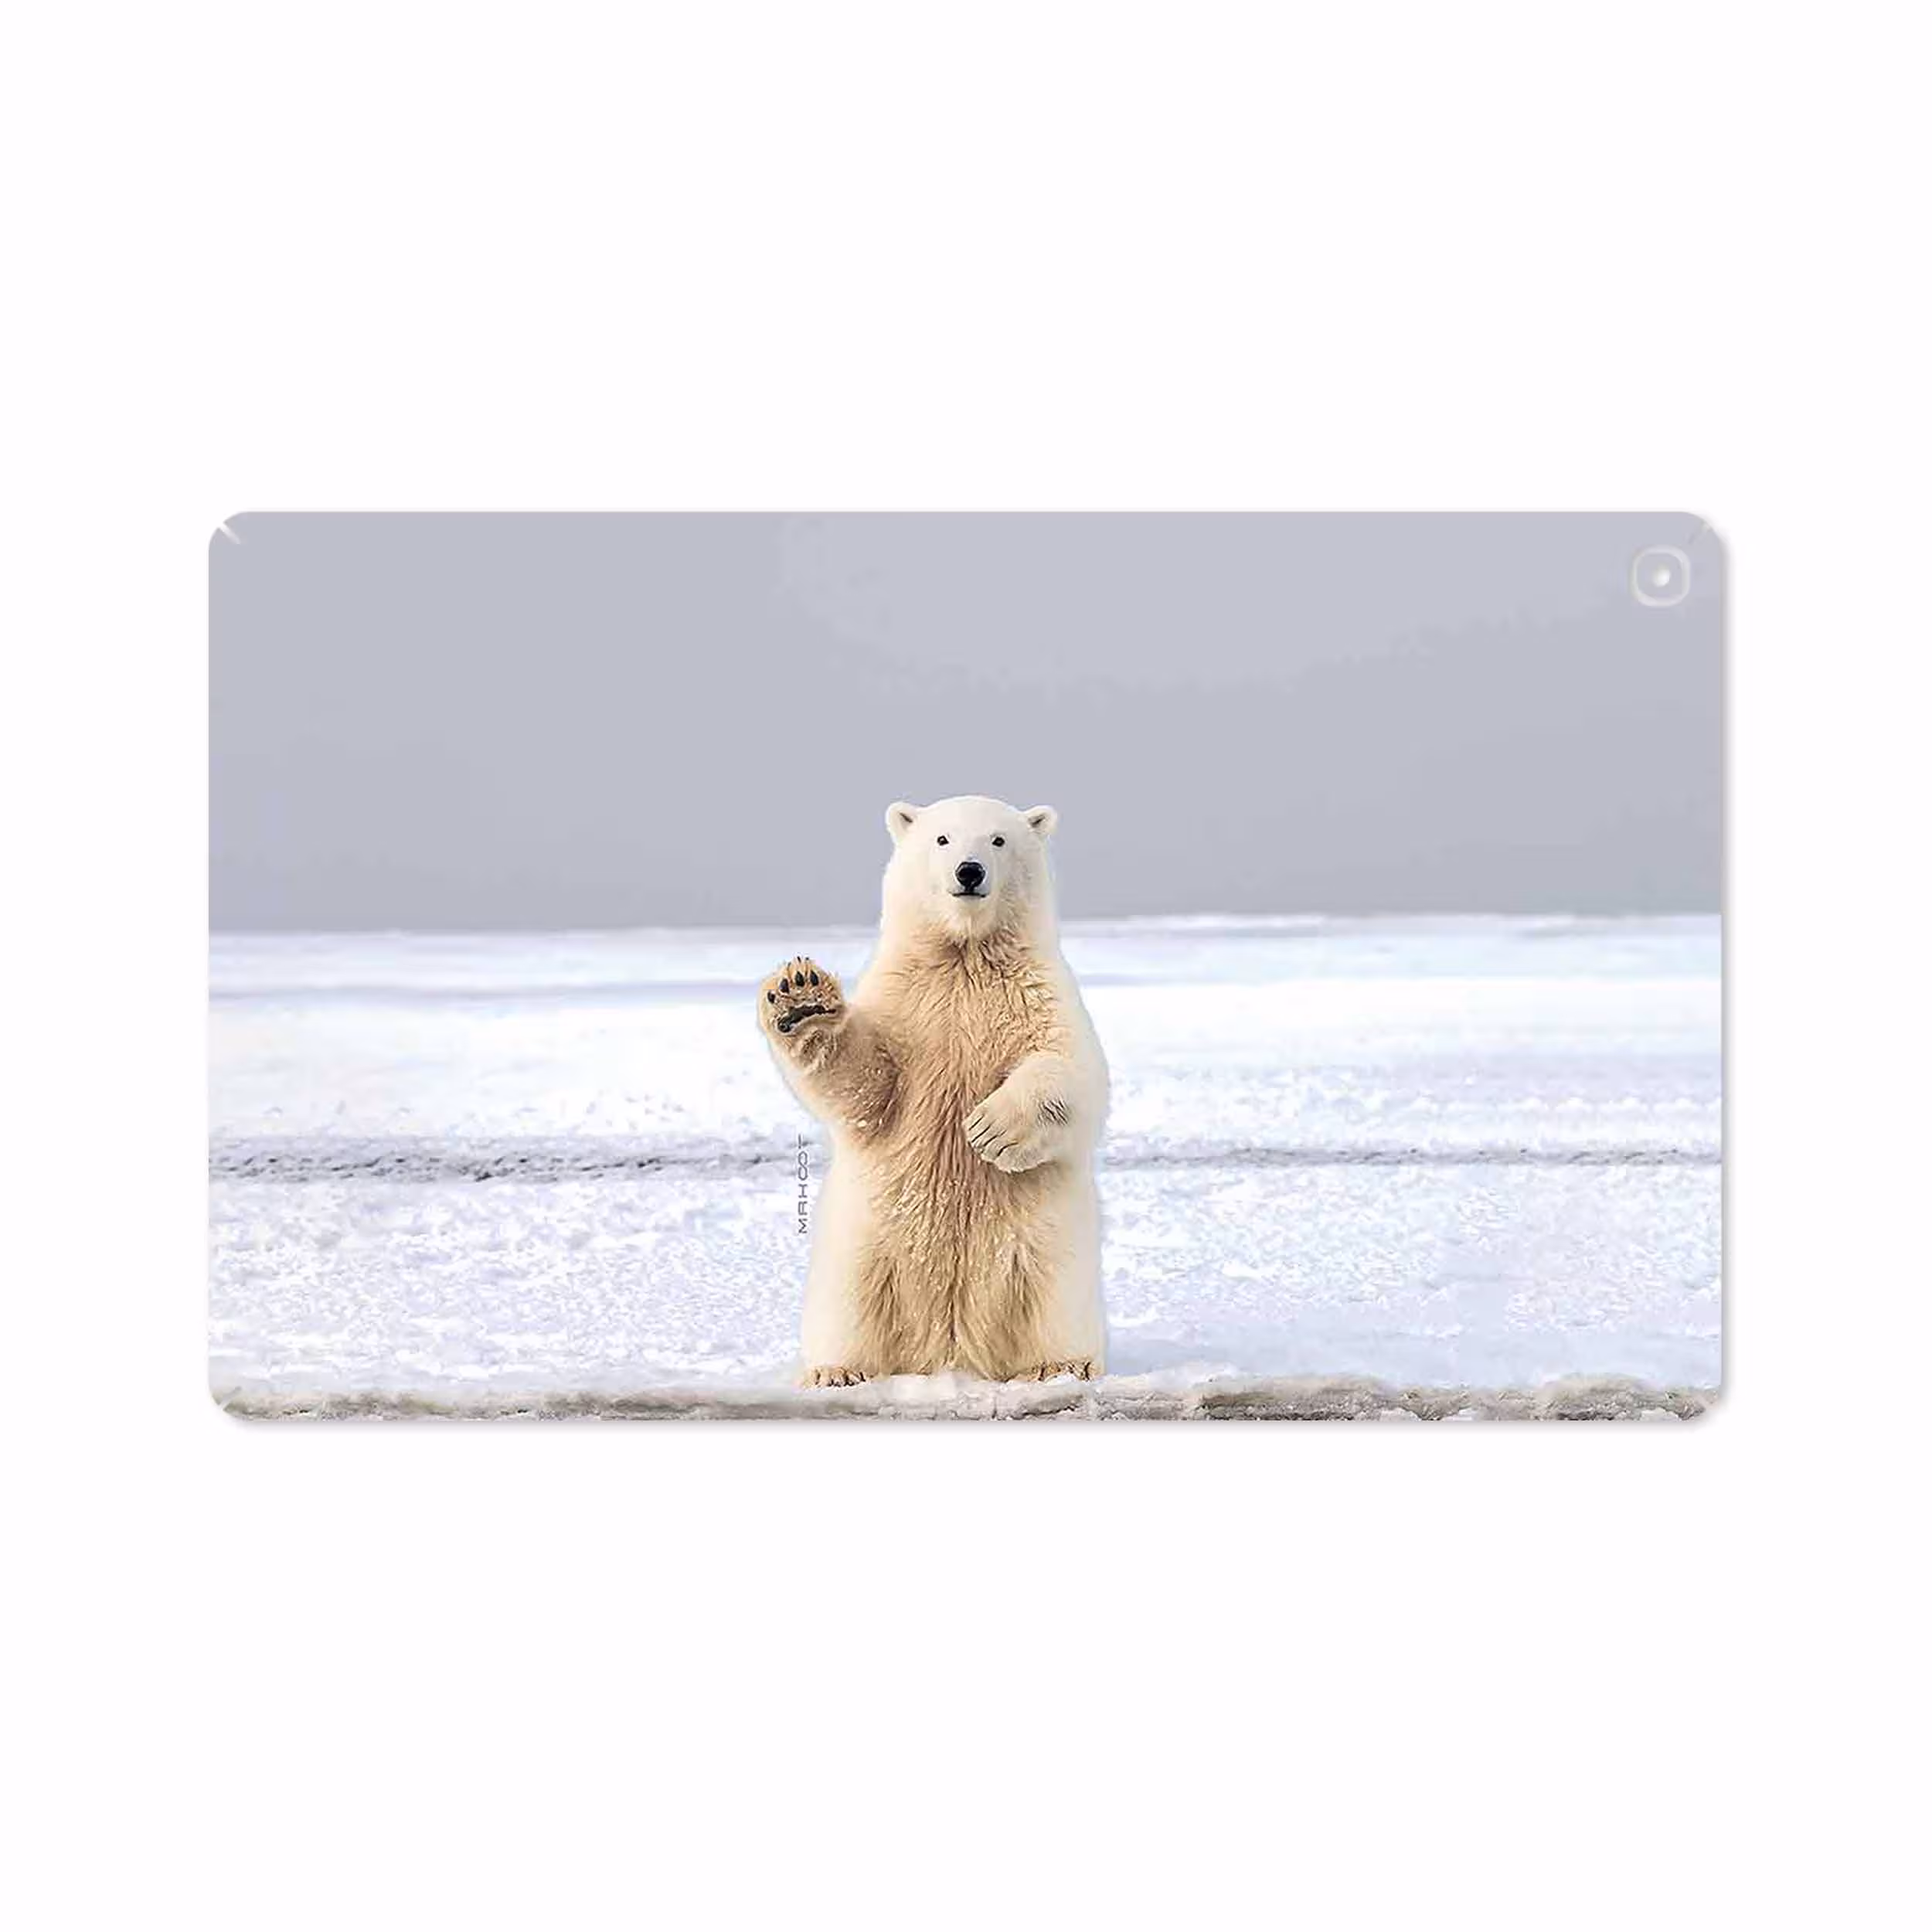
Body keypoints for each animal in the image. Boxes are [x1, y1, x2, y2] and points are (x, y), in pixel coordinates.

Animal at [758, 795, 1109, 1387]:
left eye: (998, 840)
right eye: (942, 839)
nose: (969, 872)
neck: (964, 956)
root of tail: (950, 1351)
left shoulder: (1040, 994)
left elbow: (1073, 1071)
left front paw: (990, 1129)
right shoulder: (905, 1003)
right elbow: (867, 1084)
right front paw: (800, 999)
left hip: (1049, 1248)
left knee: (1054, 1298)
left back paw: (1061, 1365)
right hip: (863, 1247)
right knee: (849, 1306)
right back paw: (837, 1371)